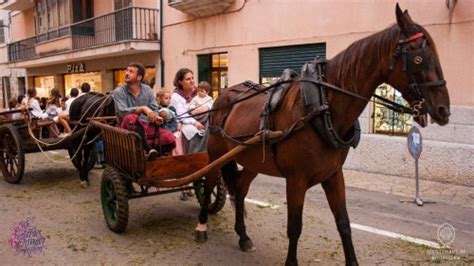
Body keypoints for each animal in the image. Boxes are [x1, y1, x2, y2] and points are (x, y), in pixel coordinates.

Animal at [194, 4, 450, 266]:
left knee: (240, 190)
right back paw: (202, 226)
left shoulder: (333, 175)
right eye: (419, 58)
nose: (444, 110)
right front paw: (291, 262)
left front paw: (352, 261)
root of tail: (224, 96)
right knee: (209, 183)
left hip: (253, 160)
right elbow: (295, 227)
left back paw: (243, 236)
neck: (321, 107)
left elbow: (344, 223)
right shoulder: (296, 180)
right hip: (216, 155)